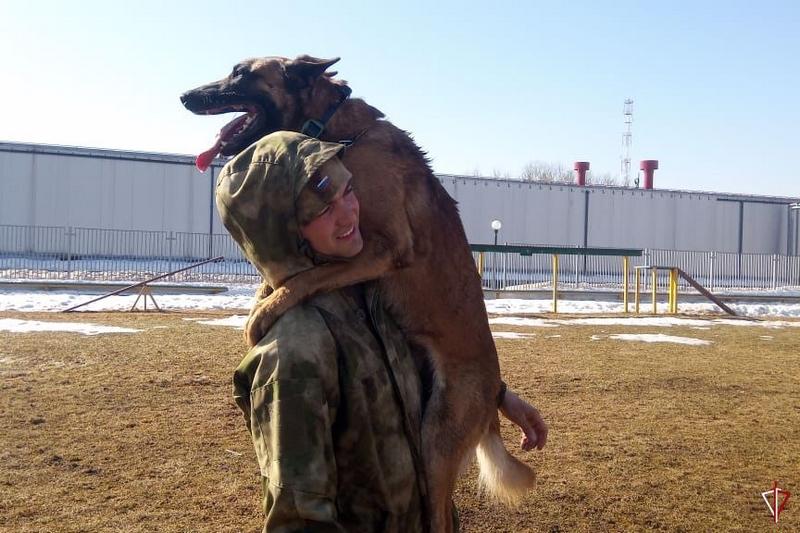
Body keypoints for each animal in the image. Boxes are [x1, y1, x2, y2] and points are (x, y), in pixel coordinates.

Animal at [180, 56, 532, 528]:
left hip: (436, 440)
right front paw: (263, 297)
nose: (185, 96)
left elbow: (309, 276)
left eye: (241, 72)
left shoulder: (383, 249)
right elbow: (295, 274)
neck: (340, 134)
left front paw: (264, 311)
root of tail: (493, 394)